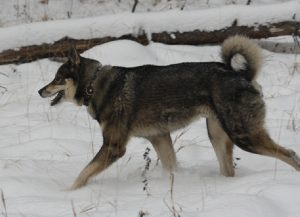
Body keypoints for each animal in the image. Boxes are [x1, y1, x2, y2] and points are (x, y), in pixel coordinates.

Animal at [39, 36, 300, 190]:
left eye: (58, 78)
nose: (40, 90)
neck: (93, 85)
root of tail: (242, 76)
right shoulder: (160, 137)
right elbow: (171, 165)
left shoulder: (114, 147)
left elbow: (83, 173)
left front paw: (68, 193)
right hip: (218, 136)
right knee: (230, 169)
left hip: (244, 136)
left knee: (290, 154)